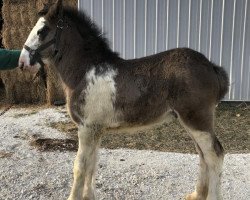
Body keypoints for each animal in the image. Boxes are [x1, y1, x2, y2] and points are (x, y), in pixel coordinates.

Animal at [19, 0, 229, 199]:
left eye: (42, 30)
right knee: (203, 155)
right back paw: (196, 194)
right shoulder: (95, 129)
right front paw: (88, 195)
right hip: (191, 122)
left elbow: (80, 166)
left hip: (197, 120)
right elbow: (92, 164)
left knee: (214, 155)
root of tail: (211, 66)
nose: (22, 63)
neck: (86, 72)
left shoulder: (86, 128)